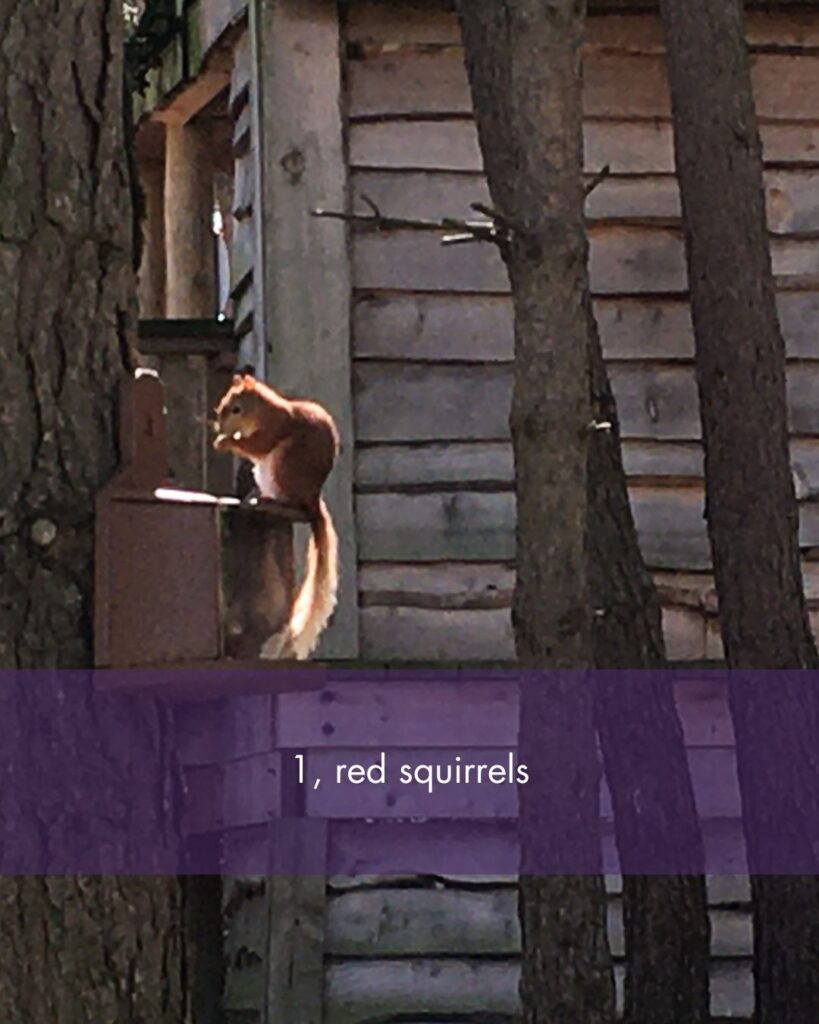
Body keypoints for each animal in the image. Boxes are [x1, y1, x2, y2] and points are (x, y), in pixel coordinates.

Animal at [213, 371, 339, 660]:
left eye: (236, 409)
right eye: (222, 403)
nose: (218, 426)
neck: (264, 410)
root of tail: (311, 501)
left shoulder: (274, 429)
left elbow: (256, 445)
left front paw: (226, 442)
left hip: (283, 466)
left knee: (288, 500)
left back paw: (268, 499)